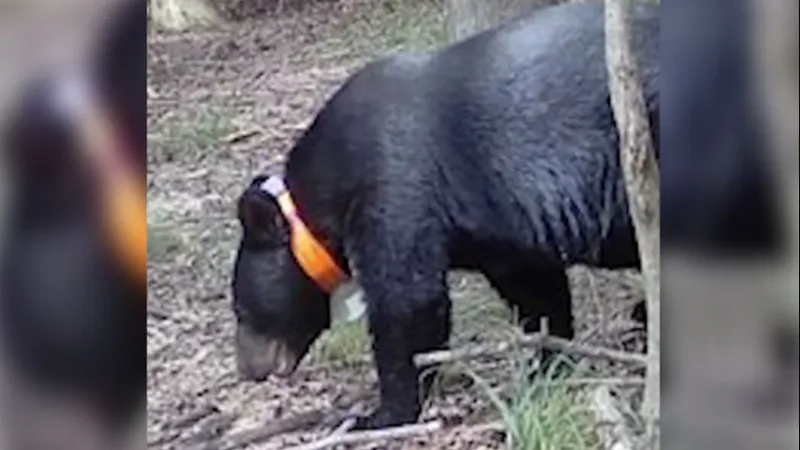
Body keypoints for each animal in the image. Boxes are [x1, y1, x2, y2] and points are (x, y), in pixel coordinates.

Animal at [232, 1, 659, 430]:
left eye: (241, 310)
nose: (247, 369)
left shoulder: (391, 185)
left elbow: (407, 301)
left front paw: (381, 413)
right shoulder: (500, 226)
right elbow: (534, 286)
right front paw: (548, 363)